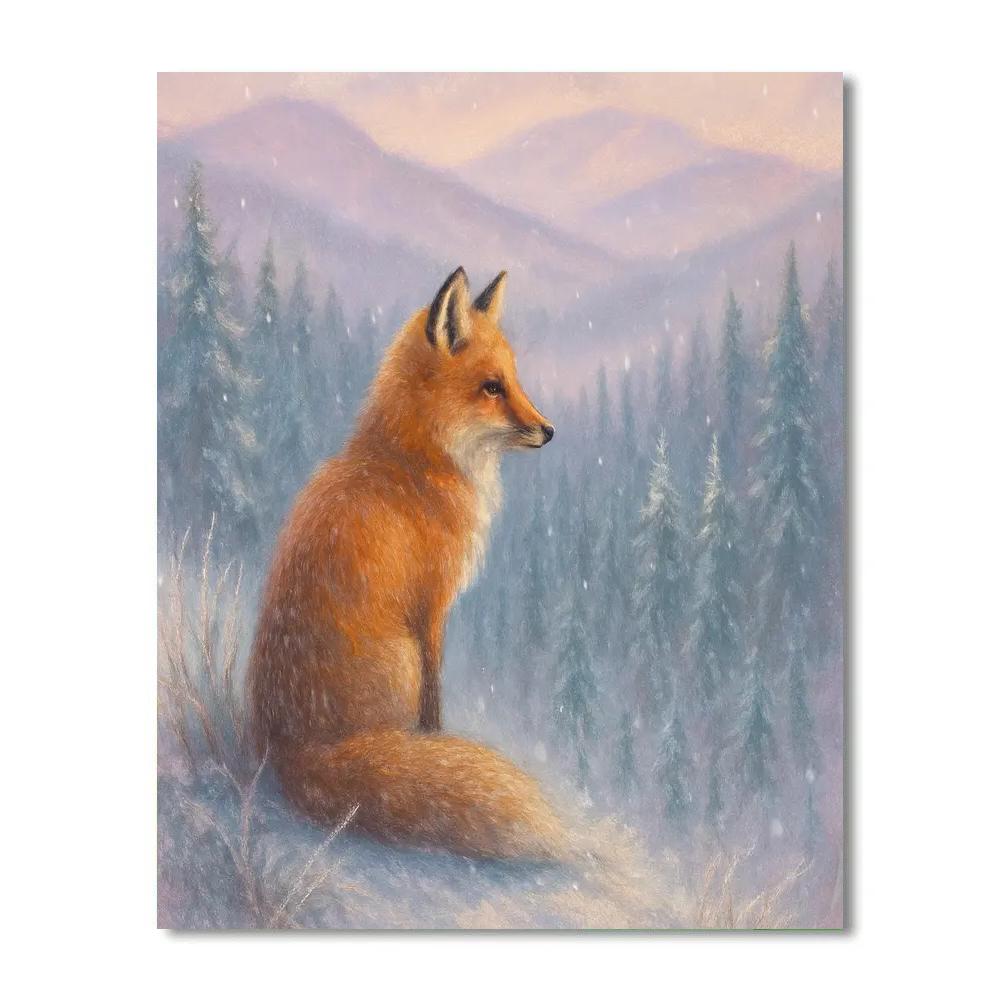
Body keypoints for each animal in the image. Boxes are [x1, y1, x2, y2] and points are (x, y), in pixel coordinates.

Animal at [247, 267, 566, 860]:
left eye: (514, 380)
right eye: (492, 387)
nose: (550, 430)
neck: (416, 460)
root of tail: (290, 752)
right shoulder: (433, 605)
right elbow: (434, 703)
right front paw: (436, 740)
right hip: (402, 656)